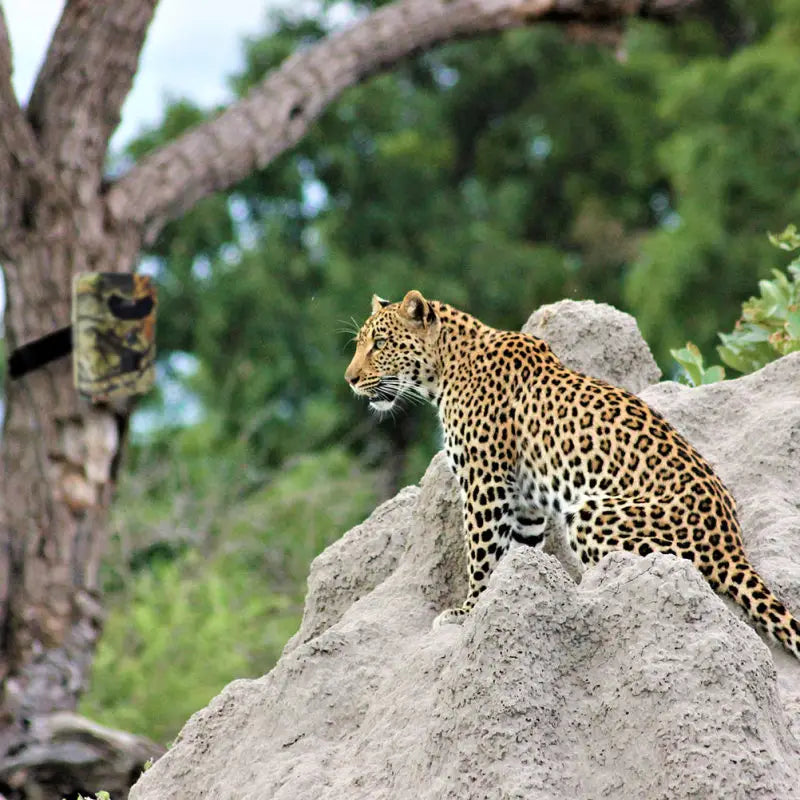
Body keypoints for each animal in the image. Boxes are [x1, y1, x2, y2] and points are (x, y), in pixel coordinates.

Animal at [344, 289, 800, 658]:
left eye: (379, 344)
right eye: (360, 344)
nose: (350, 379)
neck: (446, 369)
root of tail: (732, 545)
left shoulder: (484, 482)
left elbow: (483, 556)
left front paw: (467, 611)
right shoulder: (524, 501)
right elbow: (517, 553)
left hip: (591, 515)